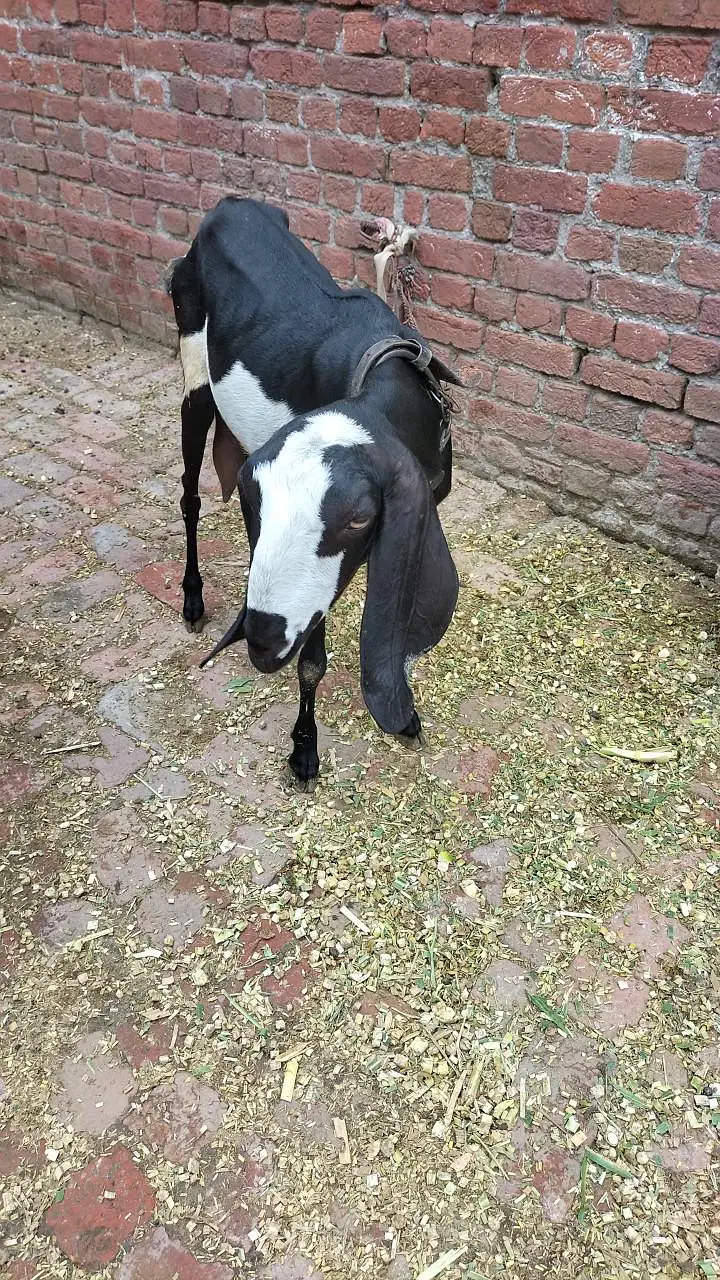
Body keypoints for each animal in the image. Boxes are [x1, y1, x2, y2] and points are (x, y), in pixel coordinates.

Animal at [168, 196, 460, 784]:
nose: (260, 639)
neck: (383, 368)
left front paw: (407, 716)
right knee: (189, 493)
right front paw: (304, 748)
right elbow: (311, 660)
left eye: (359, 517)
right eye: (254, 498)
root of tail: (228, 207)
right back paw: (193, 596)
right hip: (193, 366)